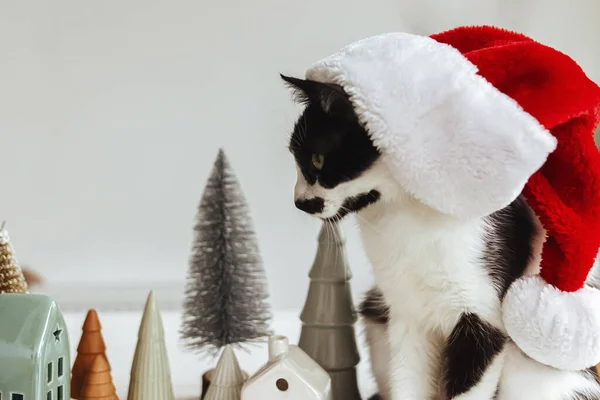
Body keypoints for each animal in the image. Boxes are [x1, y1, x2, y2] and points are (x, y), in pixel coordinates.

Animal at [282, 75, 600, 400]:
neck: (406, 218)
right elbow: (408, 381)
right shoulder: (407, 315)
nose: (298, 201)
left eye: (317, 160)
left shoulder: (482, 316)